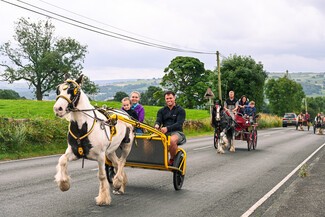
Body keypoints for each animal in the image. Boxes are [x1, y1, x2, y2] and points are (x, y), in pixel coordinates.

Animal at [53, 75, 134, 205]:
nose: (58, 109)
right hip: (110, 150)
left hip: (127, 145)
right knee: (116, 163)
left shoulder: (100, 155)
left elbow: (101, 176)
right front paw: (64, 184)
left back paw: (118, 181)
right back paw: (121, 184)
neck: (83, 127)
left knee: (122, 162)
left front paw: (103, 198)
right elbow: (62, 160)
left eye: (73, 90)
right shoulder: (73, 152)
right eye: (58, 90)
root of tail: (124, 113)